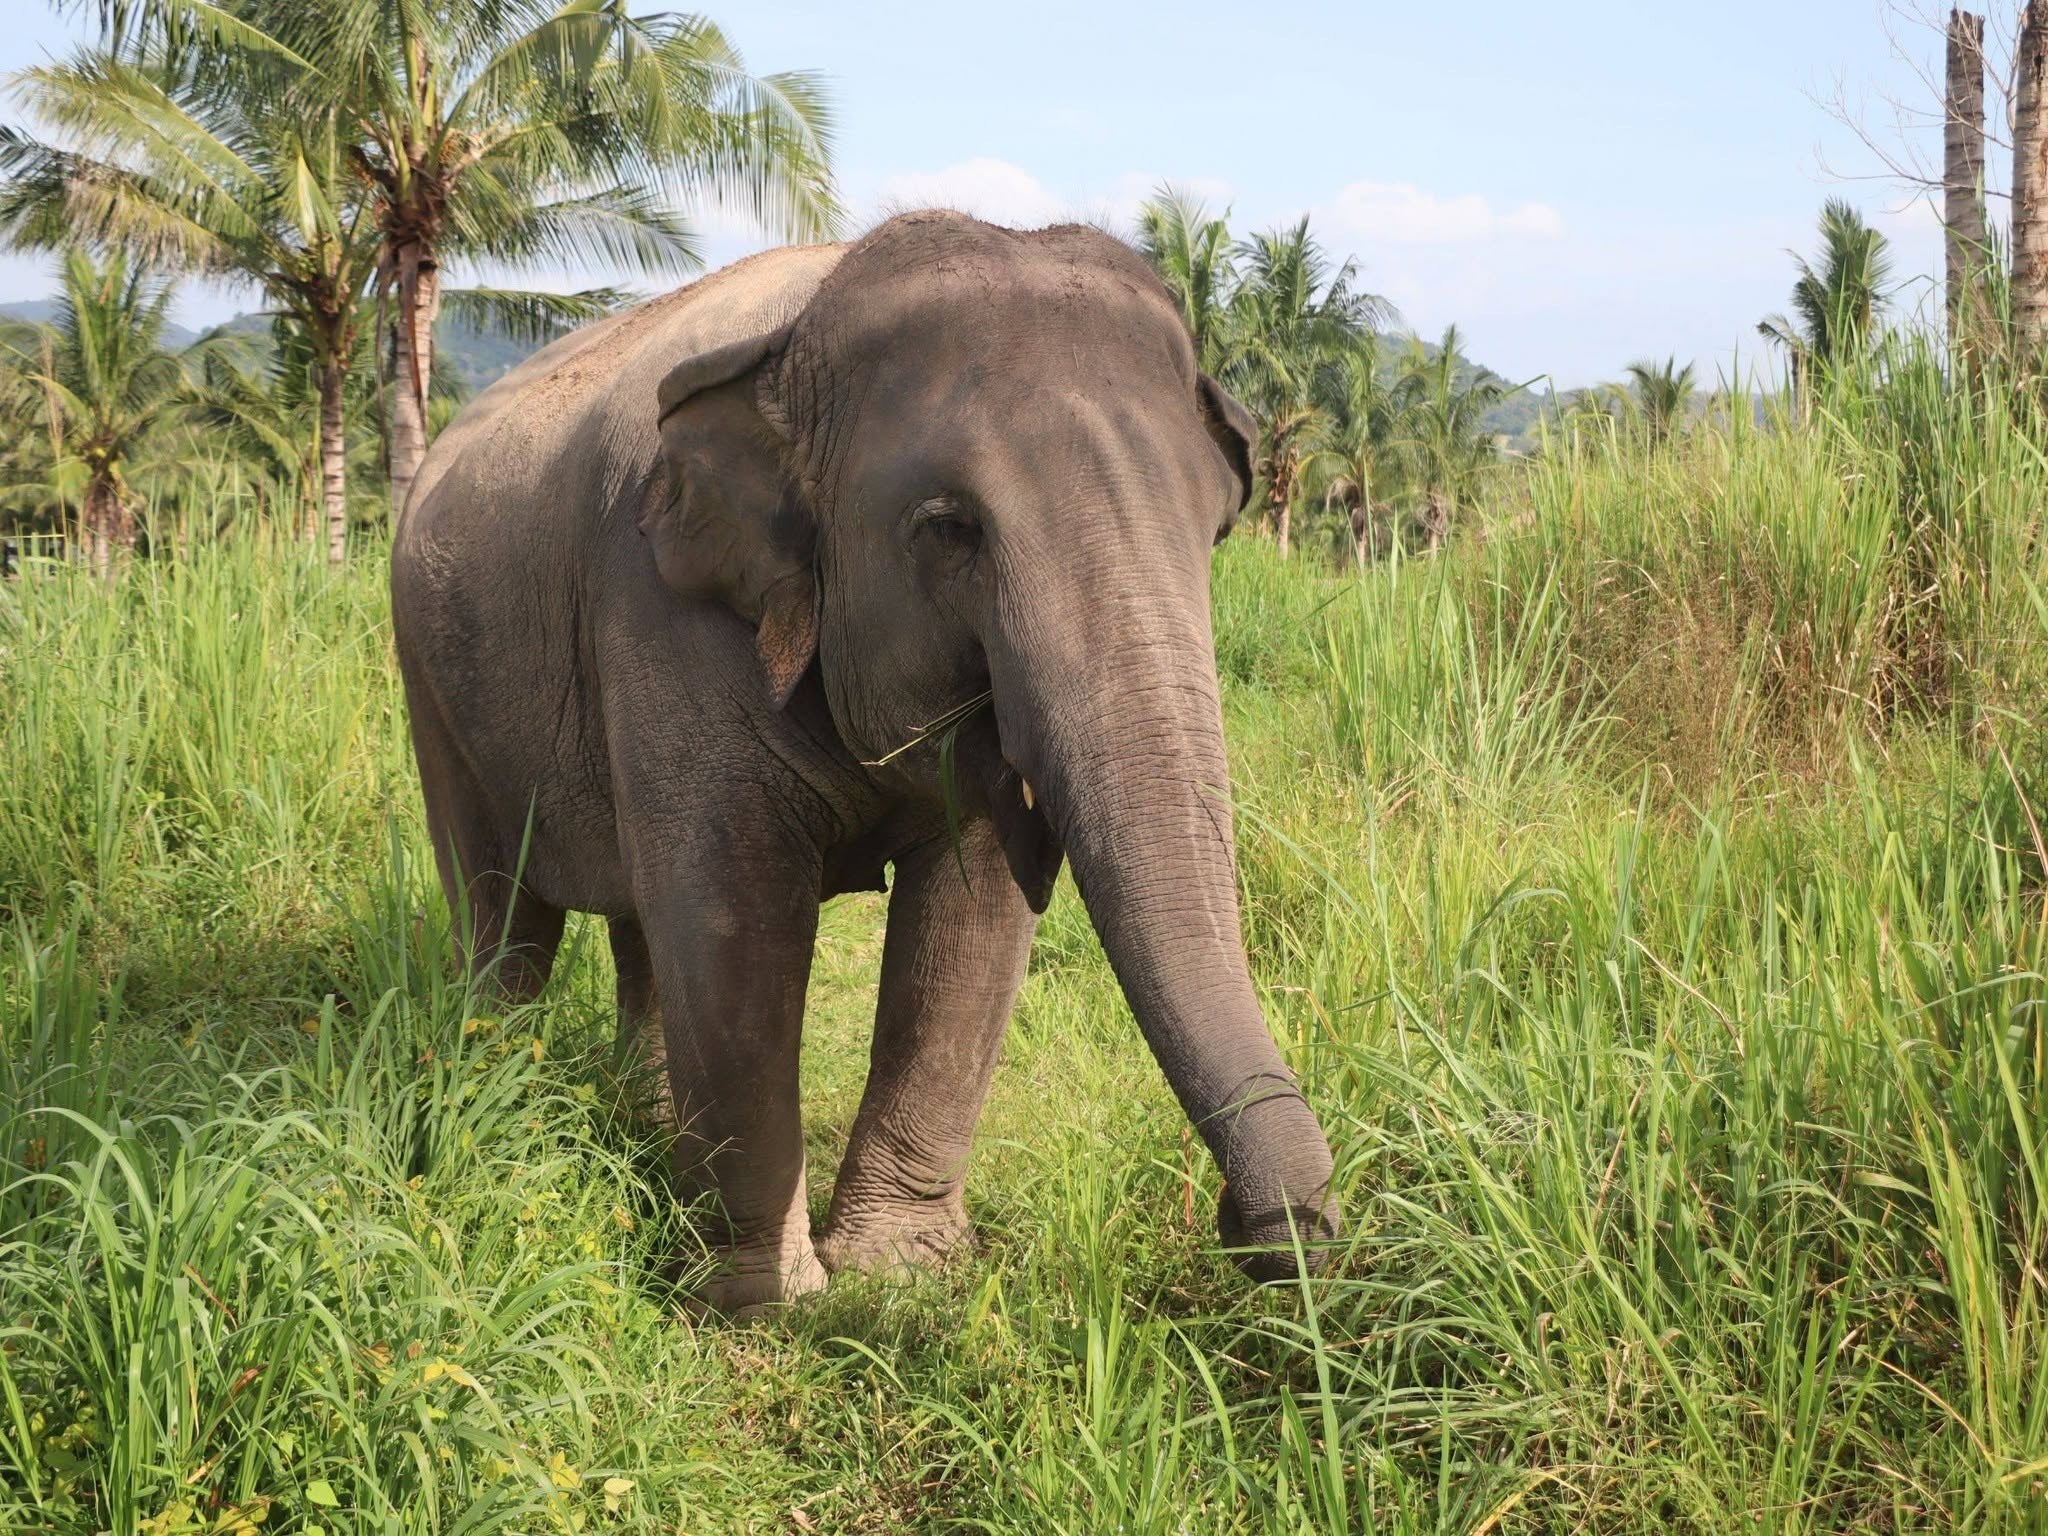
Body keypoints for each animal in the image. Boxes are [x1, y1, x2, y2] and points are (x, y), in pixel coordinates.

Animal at [391, 210, 1339, 1312]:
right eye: (949, 530)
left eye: (1214, 527)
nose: (1264, 1232)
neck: (802, 335)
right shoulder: (660, 608)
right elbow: (730, 916)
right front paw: (767, 1305)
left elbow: (969, 920)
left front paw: (900, 1276)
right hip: (430, 679)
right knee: (505, 924)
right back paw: (497, 1100)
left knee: (634, 920)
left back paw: (643, 1129)